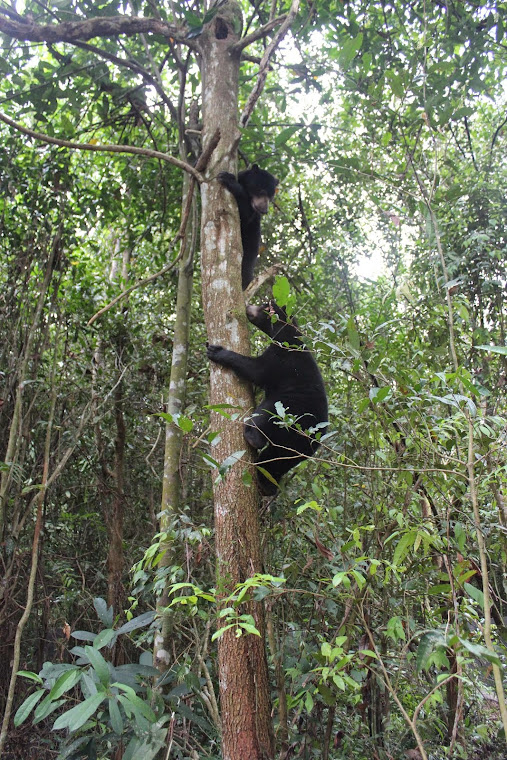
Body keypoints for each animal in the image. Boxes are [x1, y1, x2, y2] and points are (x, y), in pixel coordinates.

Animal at [207, 300, 330, 496]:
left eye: (263, 306)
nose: (247, 306)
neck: (285, 332)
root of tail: (310, 434)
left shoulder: (281, 356)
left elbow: (256, 369)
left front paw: (217, 351)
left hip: (286, 410)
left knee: (262, 419)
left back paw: (253, 437)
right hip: (295, 446)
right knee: (278, 461)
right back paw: (268, 485)